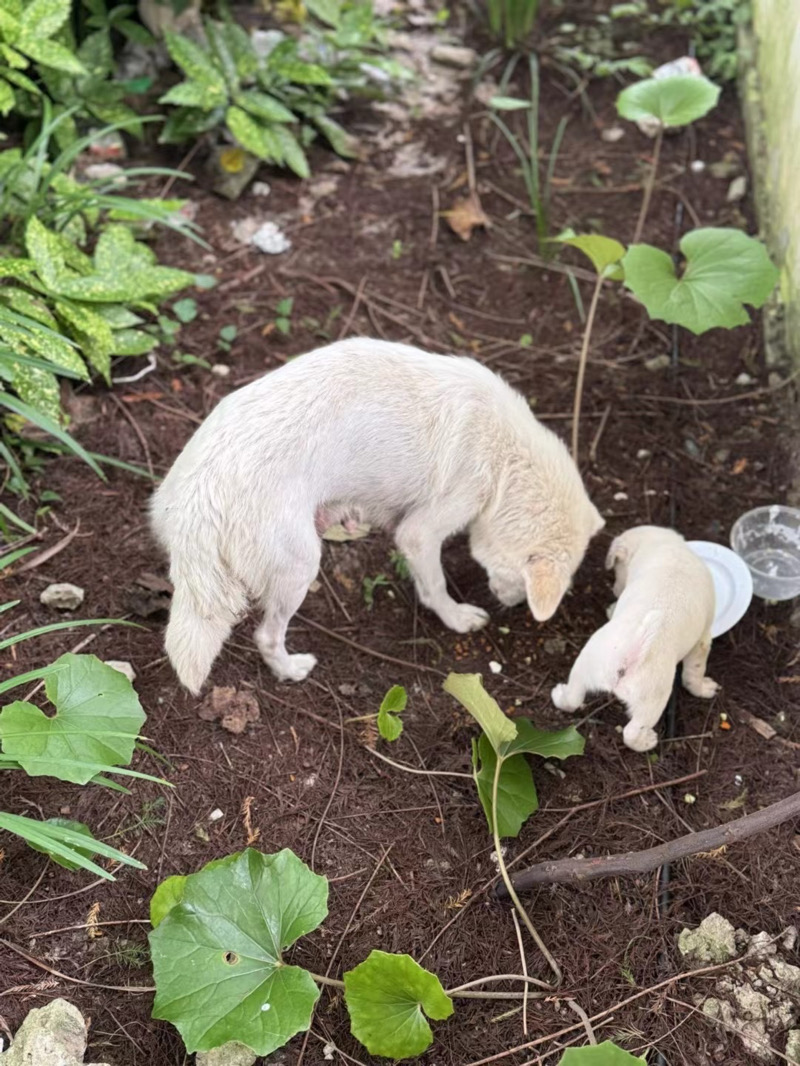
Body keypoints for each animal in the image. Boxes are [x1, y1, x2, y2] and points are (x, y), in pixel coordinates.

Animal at [150, 336, 605, 695]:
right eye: (522, 583)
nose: (511, 605)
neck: (507, 459)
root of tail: (201, 497)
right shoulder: (420, 532)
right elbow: (436, 585)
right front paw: (456, 617)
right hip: (300, 569)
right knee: (266, 635)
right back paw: (290, 669)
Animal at [550, 524, 721, 750]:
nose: (615, 589)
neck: (661, 543)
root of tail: (629, 652)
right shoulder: (702, 640)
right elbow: (695, 672)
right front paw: (703, 688)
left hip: (584, 667)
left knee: (573, 698)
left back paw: (559, 695)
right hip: (652, 701)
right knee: (631, 732)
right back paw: (646, 741)